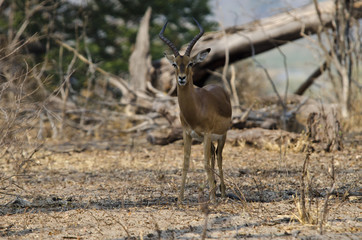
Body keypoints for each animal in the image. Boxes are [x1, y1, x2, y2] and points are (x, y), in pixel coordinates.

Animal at [159, 18, 232, 202]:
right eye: (174, 64)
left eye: (190, 63)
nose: (181, 78)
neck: (196, 108)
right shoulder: (187, 134)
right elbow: (185, 163)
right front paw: (179, 199)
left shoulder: (206, 134)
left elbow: (205, 163)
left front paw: (213, 199)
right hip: (209, 139)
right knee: (213, 154)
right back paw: (213, 188)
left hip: (222, 135)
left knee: (219, 157)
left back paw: (221, 192)